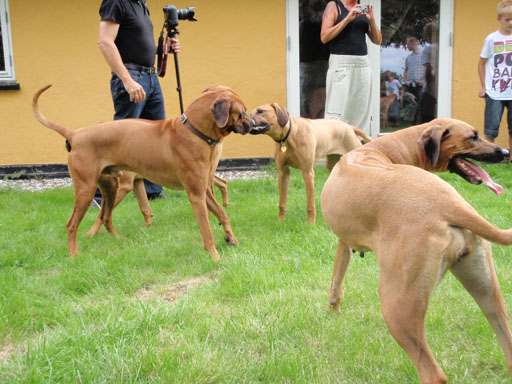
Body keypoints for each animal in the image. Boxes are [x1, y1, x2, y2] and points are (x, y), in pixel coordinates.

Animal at [33, 84, 253, 260]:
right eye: (242, 113)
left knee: (106, 216)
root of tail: (76, 134)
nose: (253, 125)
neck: (193, 131)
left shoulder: (205, 190)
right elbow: (207, 232)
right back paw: (74, 254)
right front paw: (215, 257)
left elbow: (223, 214)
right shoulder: (196, 195)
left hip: (110, 187)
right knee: (72, 224)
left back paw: (119, 239)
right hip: (87, 190)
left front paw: (230, 237)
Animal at [322, 118, 512, 382]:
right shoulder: (345, 242)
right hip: (486, 288)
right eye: (472, 136)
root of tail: (450, 204)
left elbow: (336, 282)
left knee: (433, 372)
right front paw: (334, 313)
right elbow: (337, 281)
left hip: (397, 304)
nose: (505, 152)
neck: (385, 149)